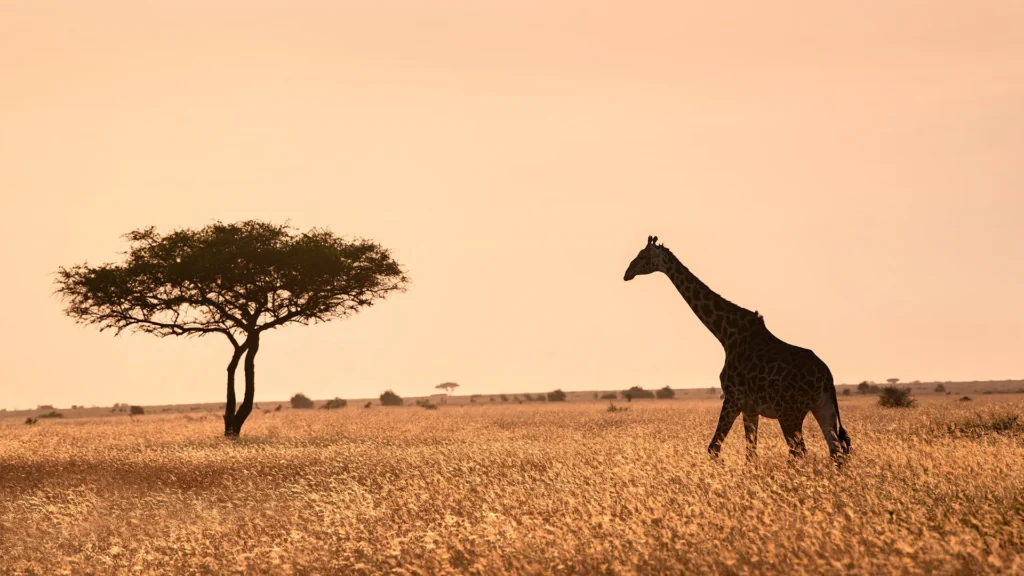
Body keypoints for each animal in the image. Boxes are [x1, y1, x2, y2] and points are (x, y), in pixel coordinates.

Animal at [623, 235, 852, 464]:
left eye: (642, 255)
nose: (627, 273)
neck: (726, 334)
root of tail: (827, 378)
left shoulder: (733, 398)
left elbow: (714, 448)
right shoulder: (750, 408)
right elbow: (750, 453)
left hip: (790, 412)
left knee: (800, 452)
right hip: (823, 408)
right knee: (835, 452)